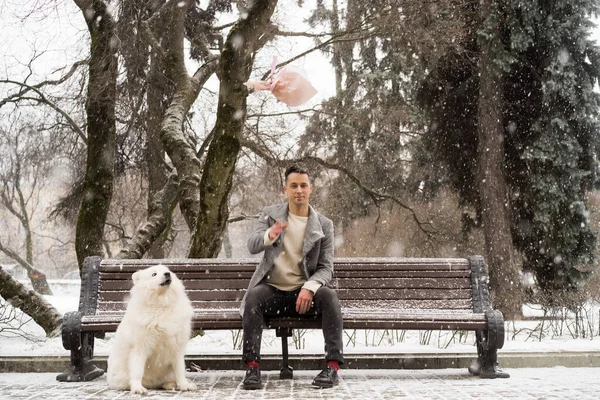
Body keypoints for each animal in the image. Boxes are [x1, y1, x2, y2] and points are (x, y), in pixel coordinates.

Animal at [107, 264, 197, 392]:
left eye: (167, 271)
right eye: (154, 274)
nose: (167, 274)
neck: (161, 305)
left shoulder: (176, 347)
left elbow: (180, 370)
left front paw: (184, 385)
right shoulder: (139, 347)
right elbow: (137, 371)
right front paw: (137, 388)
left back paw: (170, 384)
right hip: (120, 377)